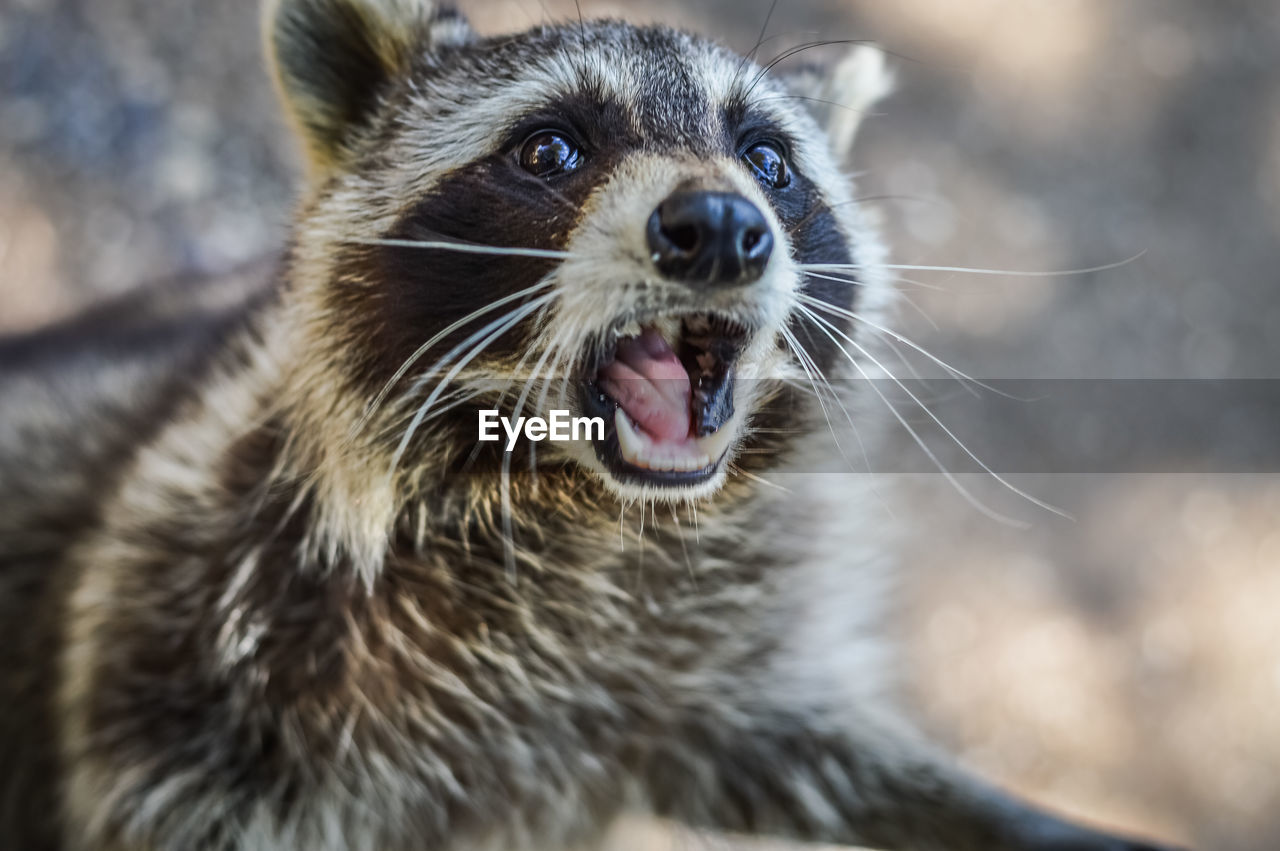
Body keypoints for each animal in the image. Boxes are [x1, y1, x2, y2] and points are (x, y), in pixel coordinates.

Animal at [0, 1, 1182, 849]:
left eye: (768, 160)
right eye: (549, 151)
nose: (721, 227)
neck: (592, 516)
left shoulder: (713, 672)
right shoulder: (180, 652)